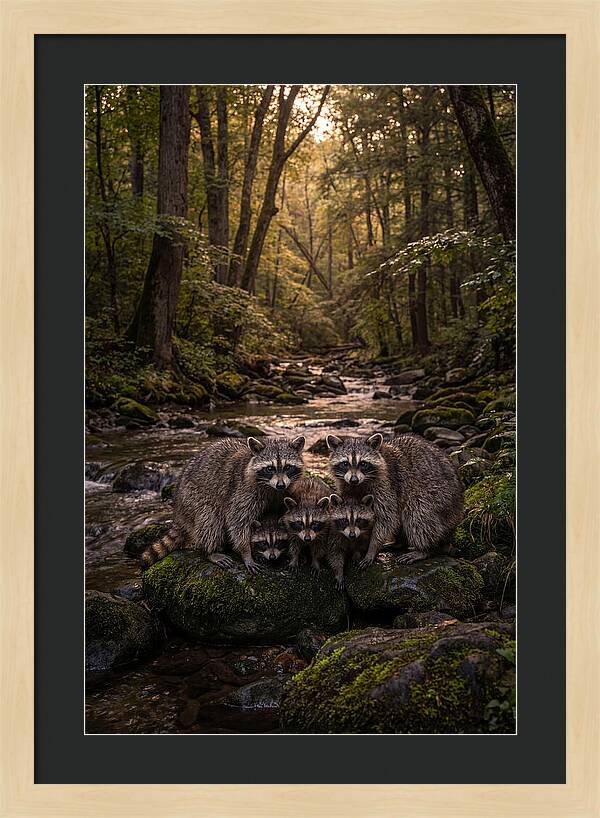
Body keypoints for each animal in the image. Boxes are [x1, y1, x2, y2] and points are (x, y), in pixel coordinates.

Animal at [140, 435, 305, 573]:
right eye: (270, 468)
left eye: (288, 467)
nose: (280, 484)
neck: (271, 488)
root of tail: (178, 510)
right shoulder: (243, 492)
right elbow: (238, 522)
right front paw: (246, 552)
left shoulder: (284, 492)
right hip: (192, 498)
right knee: (210, 520)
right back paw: (210, 551)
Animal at [326, 432, 464, 568]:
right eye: (345, 463)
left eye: (363, 464)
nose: (354, 480)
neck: (359, 484)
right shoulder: (345, 485)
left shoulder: (387, 484)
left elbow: (386, 517)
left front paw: (372, 547)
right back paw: (399, 543)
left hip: (439, 498)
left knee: (417, 514)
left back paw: (424, 549)